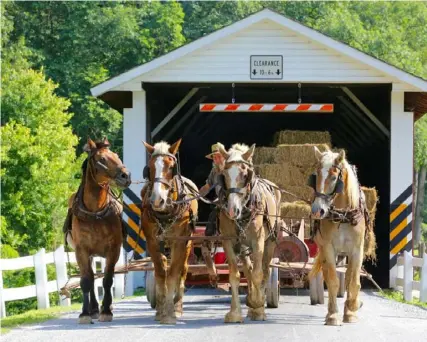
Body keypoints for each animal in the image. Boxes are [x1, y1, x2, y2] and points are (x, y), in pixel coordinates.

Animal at [64, 136, 131, 324]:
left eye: (116, 155)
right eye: (102, 159)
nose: (125, 176)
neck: (95, 213)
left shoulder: (113, 249)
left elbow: (107, 280)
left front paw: (106, 310)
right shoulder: (81, 250)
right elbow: (87, 280)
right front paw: (85, 313)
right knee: (92, 277)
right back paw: (93, 308)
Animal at [142, 138, 199, 324]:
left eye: (171, 166)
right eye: (149, 168)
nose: (157, 200)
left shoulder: (179, 242)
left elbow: (174, 274)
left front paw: (170, 313)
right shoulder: (152, 241)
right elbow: (161, 273)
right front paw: (161, 311)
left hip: (187, 244)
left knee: (183, 270)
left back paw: (177, 306)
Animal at [217, 143, 280, 322]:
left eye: (245, 174)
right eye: (224, 174)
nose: (232, 210)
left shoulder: (258, 241)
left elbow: (259, 273)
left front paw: (258, 307)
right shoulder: (228, 241)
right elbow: (235, 275)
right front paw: (234, 312)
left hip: (270, 240)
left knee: (265, 269)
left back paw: (258, 303)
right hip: (243, 246)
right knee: (248, 268)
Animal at [310, 146, 376, 326]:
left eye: (334, 177)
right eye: (316, 175)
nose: (317, 211)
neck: (343, 216)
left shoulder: (357, 250)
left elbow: (353, 281)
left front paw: (351, 312)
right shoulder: (328, 248)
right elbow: (333, 280)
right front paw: (333, 316)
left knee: (349, 277)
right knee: (328, 274)